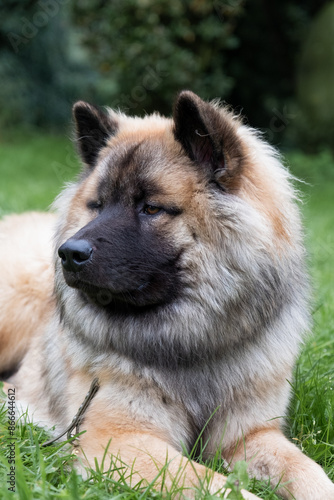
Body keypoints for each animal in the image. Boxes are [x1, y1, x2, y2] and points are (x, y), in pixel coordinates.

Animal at [0, 91, 334, 500]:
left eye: (151, 208)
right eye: (97, 205)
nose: (69, 253)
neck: (192, 342)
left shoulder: (250, 434)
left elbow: (309, 472)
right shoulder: (120, 439)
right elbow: (216, 485)